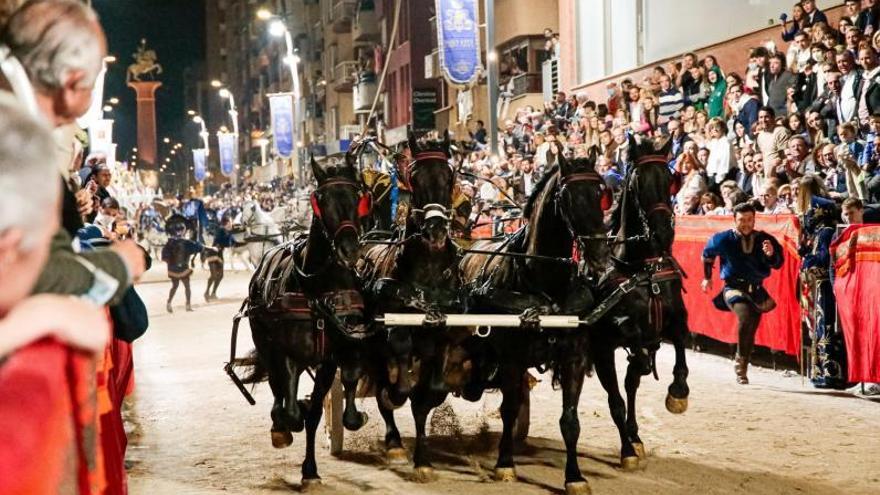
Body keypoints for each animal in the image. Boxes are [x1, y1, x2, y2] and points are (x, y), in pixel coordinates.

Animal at [241, 154, 374, 488]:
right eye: (321, 198)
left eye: (357, 196)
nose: (349, 250)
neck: (317, 288)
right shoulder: (289, 355)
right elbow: (292, 410)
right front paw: (288, 423)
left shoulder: (331, 357)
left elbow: (319, 410)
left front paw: (310, 470)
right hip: (266, 344)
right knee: (277, 389)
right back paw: (280, 424)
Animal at [360, 130, 468, 478]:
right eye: (415, 177)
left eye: (449, 175)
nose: (435, 229)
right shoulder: (397, 333)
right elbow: (399, 390)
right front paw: (393, 399)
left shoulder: (443, 335)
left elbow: (429, 393)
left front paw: (423, 458)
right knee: (382, 382)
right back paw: (393, 441)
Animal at [460, 152, 612, 495]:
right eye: (568, 197)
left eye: (601, 193)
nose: (600, 257)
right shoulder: (512, 358)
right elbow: (509, 409)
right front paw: (505, 464)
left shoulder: (573, 358)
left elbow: (570, 420)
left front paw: (574, 476)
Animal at [588, 135, 692, 472]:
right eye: (636, 182)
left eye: (670, 179)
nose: (662, 233)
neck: (642, 267)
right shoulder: (605, 342)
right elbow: (616, 396)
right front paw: (627, 450)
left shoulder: (673, 318)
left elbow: (681, 340)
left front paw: (678, 393)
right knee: (619, 391)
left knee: (631, 383)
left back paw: (634, 435)